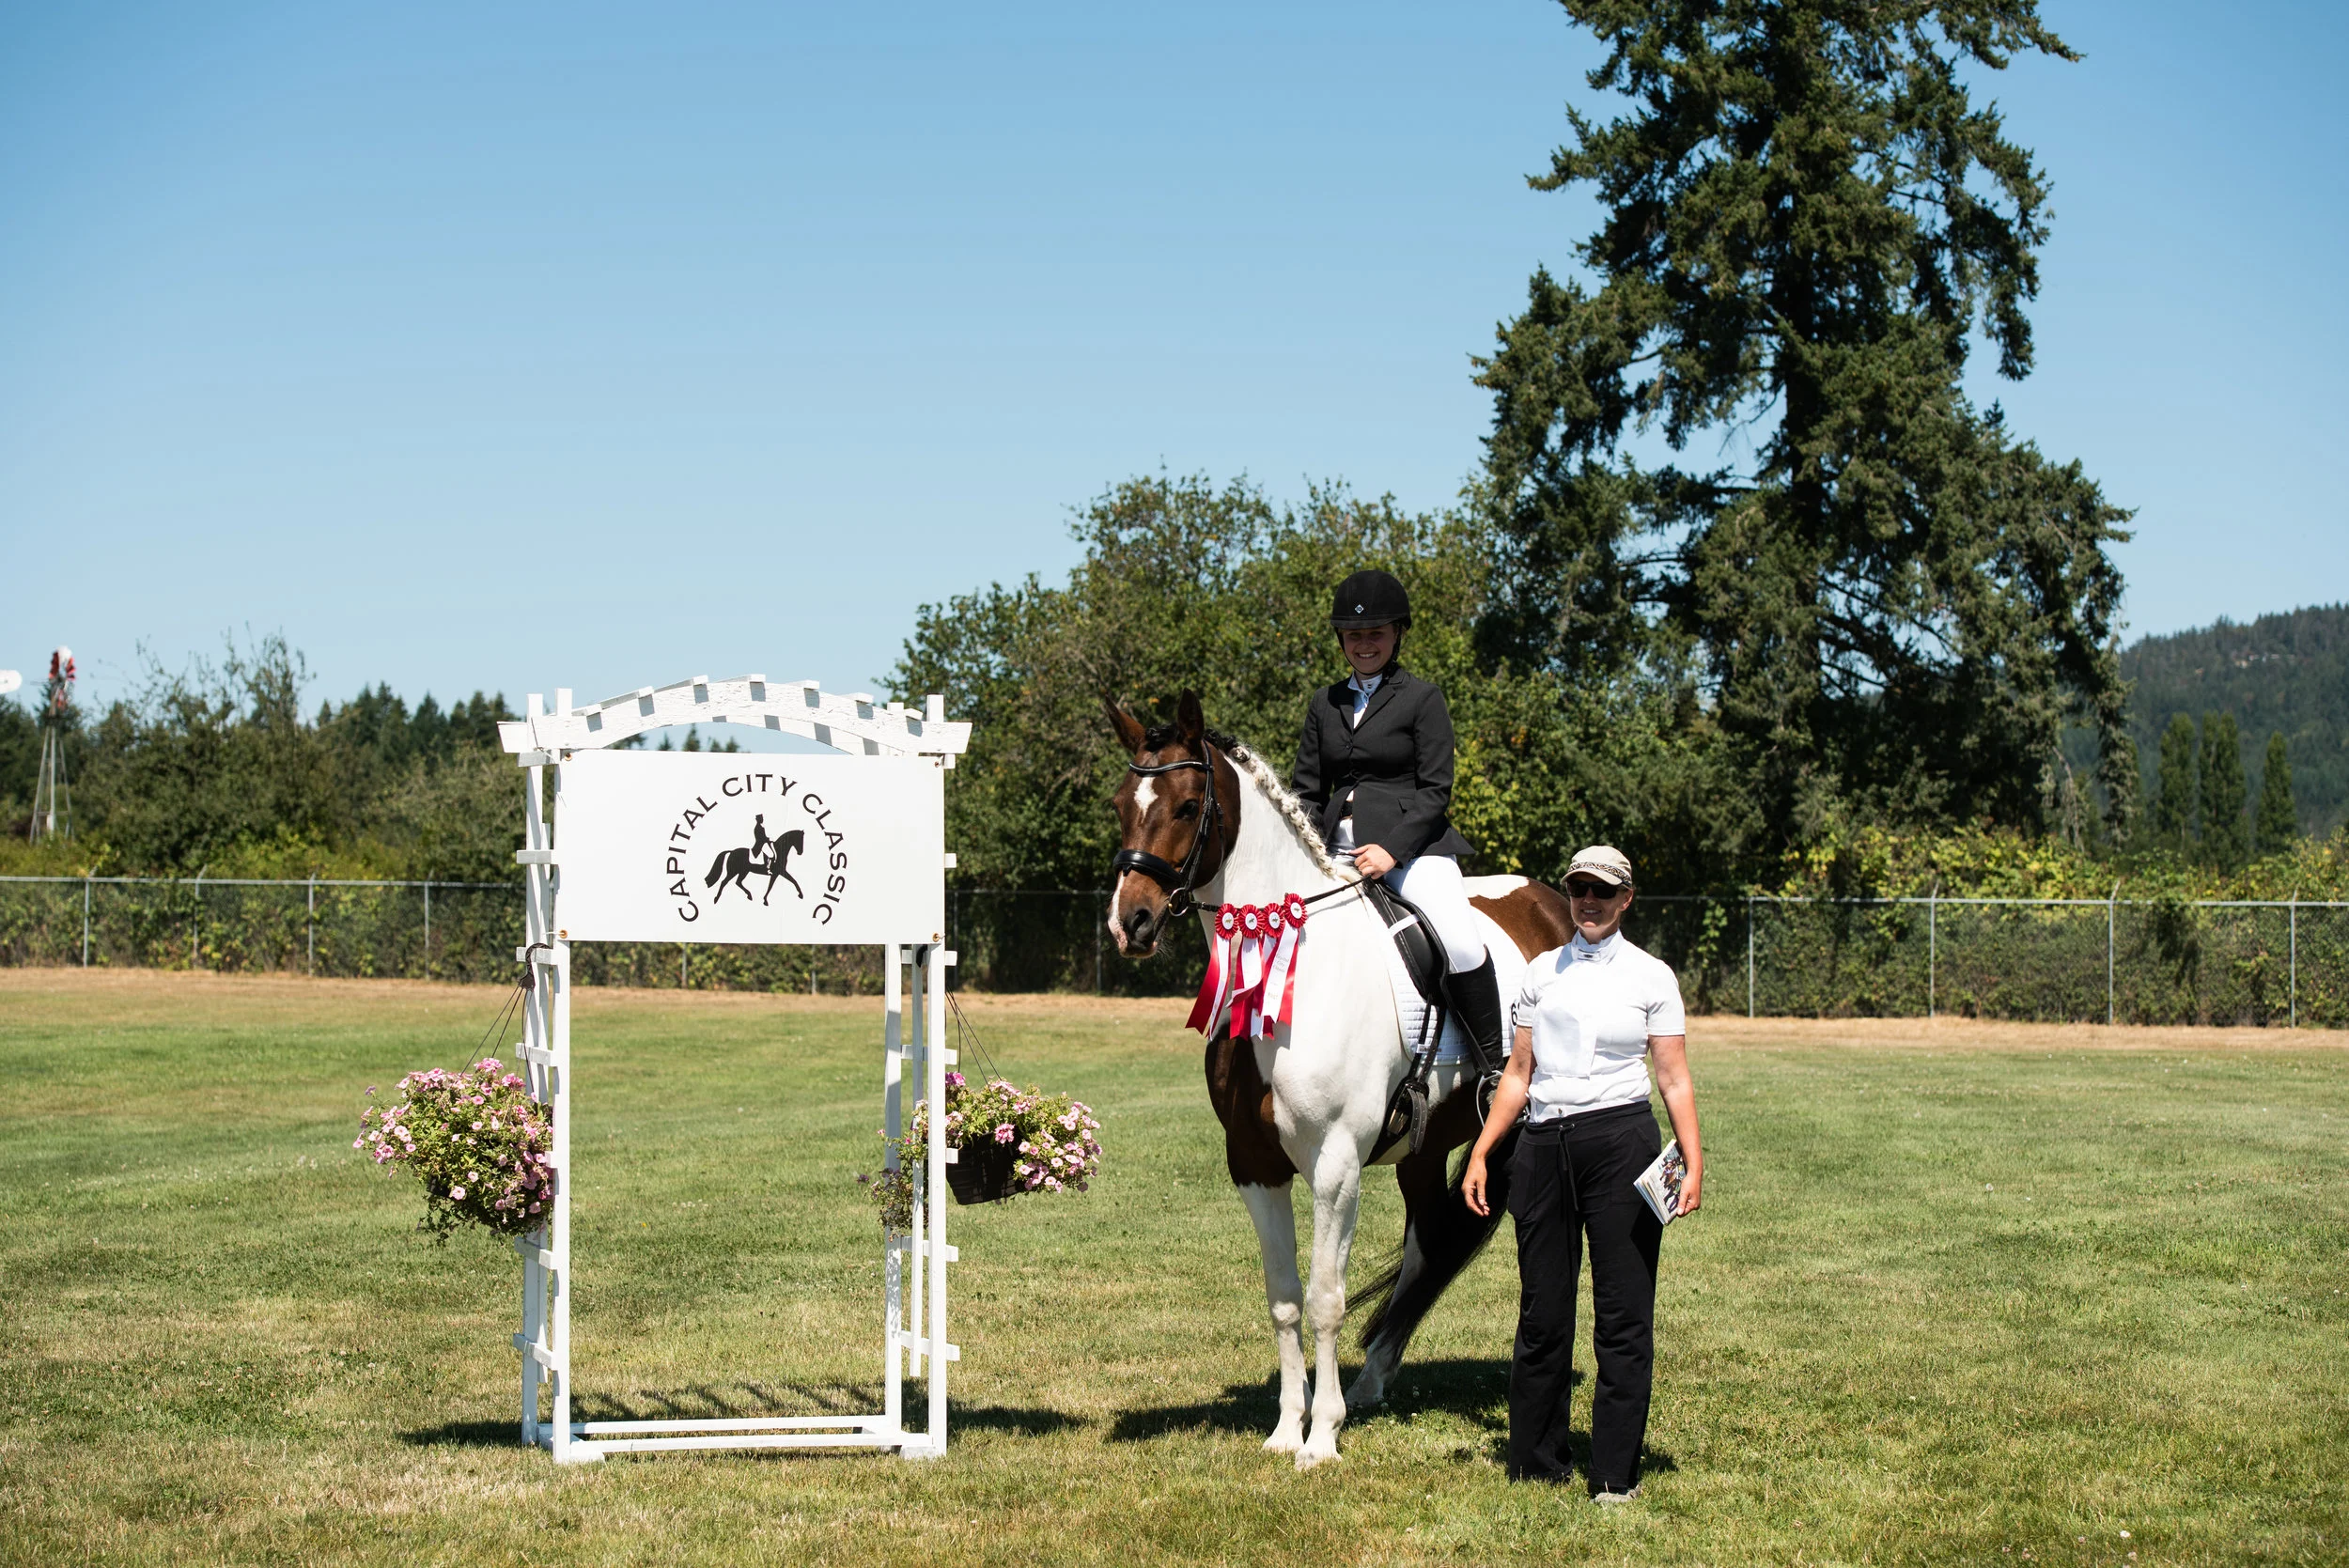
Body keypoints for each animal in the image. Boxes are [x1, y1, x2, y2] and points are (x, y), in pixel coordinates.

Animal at [1106, 690, 1574, 1469]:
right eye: (1120, 803)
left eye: (1187, 805)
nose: (1131, 922)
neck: (1291, 960)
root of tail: (1554, 901)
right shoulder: (1254, 1163)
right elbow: (1285, 1295)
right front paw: (1284, 1427)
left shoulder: (1337, 1163)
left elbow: (1327, 1295)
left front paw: (1321, 1436)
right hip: (1424, 1147)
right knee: (1428, 1243)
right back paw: (1375, 1377)